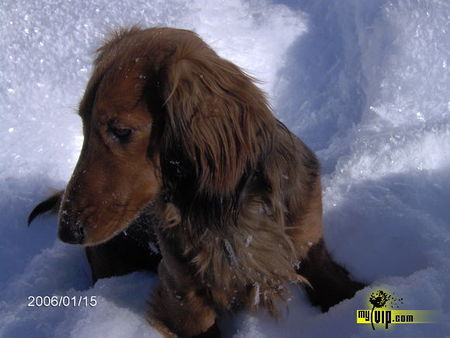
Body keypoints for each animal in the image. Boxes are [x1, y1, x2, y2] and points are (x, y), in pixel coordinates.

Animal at [29, 27, 366, 338]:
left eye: (121, 130)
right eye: (83, 122)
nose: (68, 232)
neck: (229, 213)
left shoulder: (310, 246)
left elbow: (335, 284)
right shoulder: (181, 292)